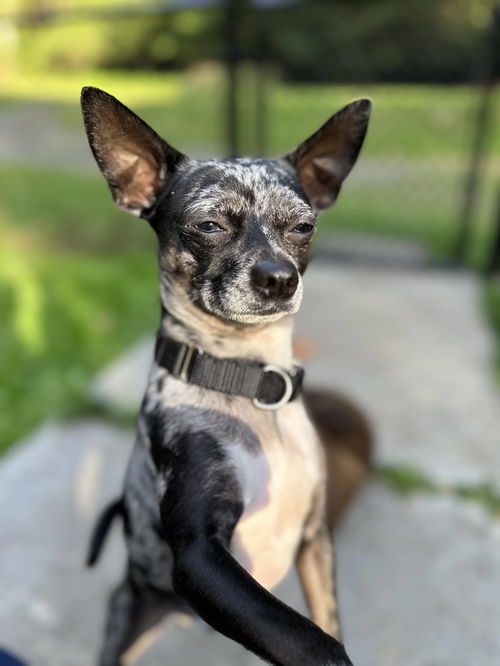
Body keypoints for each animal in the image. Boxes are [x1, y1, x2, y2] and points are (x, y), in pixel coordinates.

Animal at [81, 84, 372, 664]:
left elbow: (326, 620)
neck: (248, 382)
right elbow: (313, 640)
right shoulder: (200, 557)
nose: (278, 277)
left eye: (303, 227)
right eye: (209, 225)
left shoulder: (315, 540)